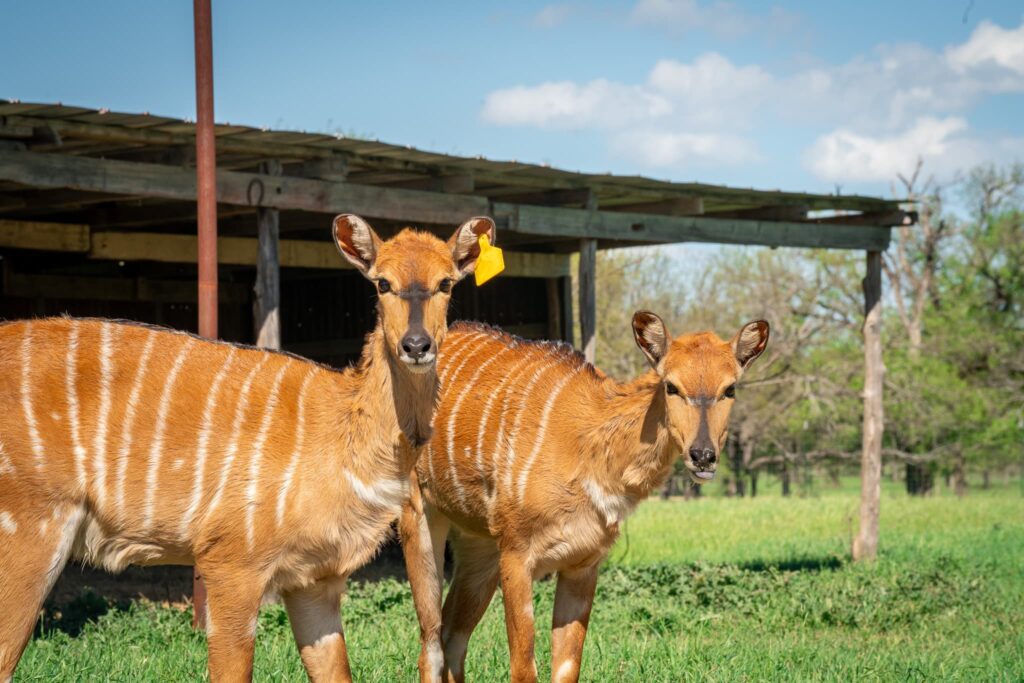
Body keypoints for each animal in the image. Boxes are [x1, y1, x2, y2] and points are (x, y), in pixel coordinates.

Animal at [0, 213, 496, 683]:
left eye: (446, 282)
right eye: (382, 282)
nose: (416, 345)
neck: (341, 437)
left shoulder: (315, 579)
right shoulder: (231, 562)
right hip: (30, 532)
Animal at [399, 312, 769, 683]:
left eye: (729, 389)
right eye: (671, 386)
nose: (703, 456)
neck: (587, 447)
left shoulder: (583, 563)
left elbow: (566, 668)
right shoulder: (517, 553)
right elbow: (524, 669)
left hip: (480, 547)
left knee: (453, 636)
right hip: (420, 518)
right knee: (431, 642)